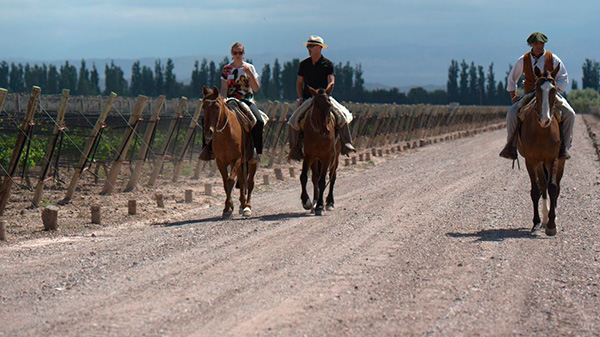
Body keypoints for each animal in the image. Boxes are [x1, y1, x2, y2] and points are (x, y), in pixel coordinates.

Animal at [203, 85, 256, 218]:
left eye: (217, 107)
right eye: (203, 106)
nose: (208, 132)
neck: (225, 133)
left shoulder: (235, 159)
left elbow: (230, 181)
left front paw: (228, 208)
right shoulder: (220, 162)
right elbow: (225, 183)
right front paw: (228, 208)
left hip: (252, 161)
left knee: (250, 182)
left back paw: (247, 207)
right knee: (242, 180)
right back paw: (242, 205)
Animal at [300, 85, 342, 214]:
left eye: (329, 105)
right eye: (315, 105)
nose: (325, 130)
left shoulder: (326, 157)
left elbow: (322, 181)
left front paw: (319, 206)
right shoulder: (309, 156)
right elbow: (304, 177)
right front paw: (306, 202)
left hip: (335, 157)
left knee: (332, 176)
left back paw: (329, 202)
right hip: (315, 160)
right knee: (315, 178)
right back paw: (314, 201)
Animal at [516, 64, 564, 235]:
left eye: (553, 89)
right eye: (537, 88)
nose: (545, 120)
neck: (542, 131)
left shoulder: (553, 159)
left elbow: (553, 187)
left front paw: (552, 225)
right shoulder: (531, 161)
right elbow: (536, 190)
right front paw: (537, 222)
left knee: (556, 185)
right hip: (538, 164)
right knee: (542, 185)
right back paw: (543, 219)